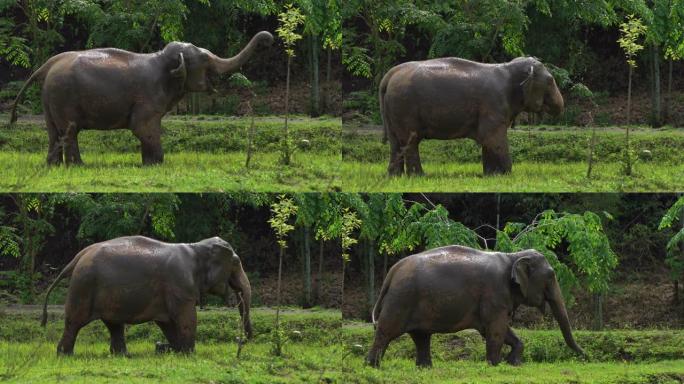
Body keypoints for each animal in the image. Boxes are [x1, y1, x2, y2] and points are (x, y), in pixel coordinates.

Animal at [8, 31, 272, 165]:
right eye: (206, 59)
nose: (268, 39)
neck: (162, 58)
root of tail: (47, 65)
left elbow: (145, 129)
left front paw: (147, 163)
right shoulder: (148, 96)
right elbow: (143, 127)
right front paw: (158, 164)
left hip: (50, 98)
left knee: (53, 132)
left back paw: (53, 166)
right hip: (64, 97)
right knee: (69, 132)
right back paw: (78, 166)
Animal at [39, 236, 251, 356]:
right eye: (236, 263)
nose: (240, 340)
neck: (197, 247)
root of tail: (78, 257)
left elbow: (167, 322)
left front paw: (176, 350)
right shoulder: (180, 284)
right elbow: (186, 317)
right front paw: (189, 354)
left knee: (114, 324)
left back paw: (122, 356)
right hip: (84, 286)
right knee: (75, 322)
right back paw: (64, 355)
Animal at [366, 244, 584, 368]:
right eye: (551, 276)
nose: (585, 356)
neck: (513, 256)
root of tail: (393, 271)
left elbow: (500, 330)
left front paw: (513, 364)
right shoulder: (494, 293)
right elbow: (495, 329)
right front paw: (495, 365)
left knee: (421, 337)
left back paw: (425, 368)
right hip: (401, 299)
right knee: (386, 331)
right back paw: (372, 366)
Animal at [376, 56, 564, 176]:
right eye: (550, 80)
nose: (559, 108)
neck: (508, 67)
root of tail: (389, 75)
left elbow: (488, 139)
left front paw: (492, 175)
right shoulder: (493, 104)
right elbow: (493, 137)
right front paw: (508, 175)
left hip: (393, 110)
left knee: (396, 142)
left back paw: (395, 176)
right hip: (404, 106)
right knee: (411, 141)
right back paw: (418, 176)